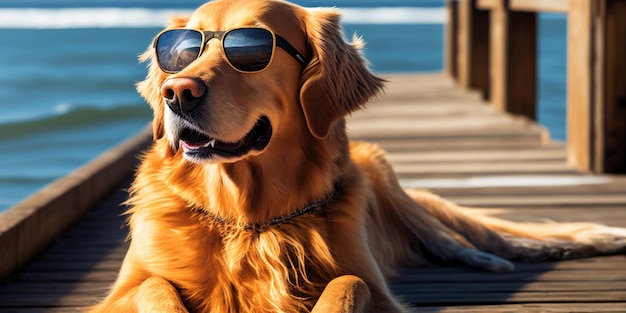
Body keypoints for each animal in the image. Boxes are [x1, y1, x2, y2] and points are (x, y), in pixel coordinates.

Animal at [90, 1, 624, 310]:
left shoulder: (374, 287)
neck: (249, 218)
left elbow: (347, 284)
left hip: (389, 184)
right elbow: (156, 289)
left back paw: (518, 253)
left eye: (252, 49)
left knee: (463, 237)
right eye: (179, 51)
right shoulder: (122, 291)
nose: (176, 93)